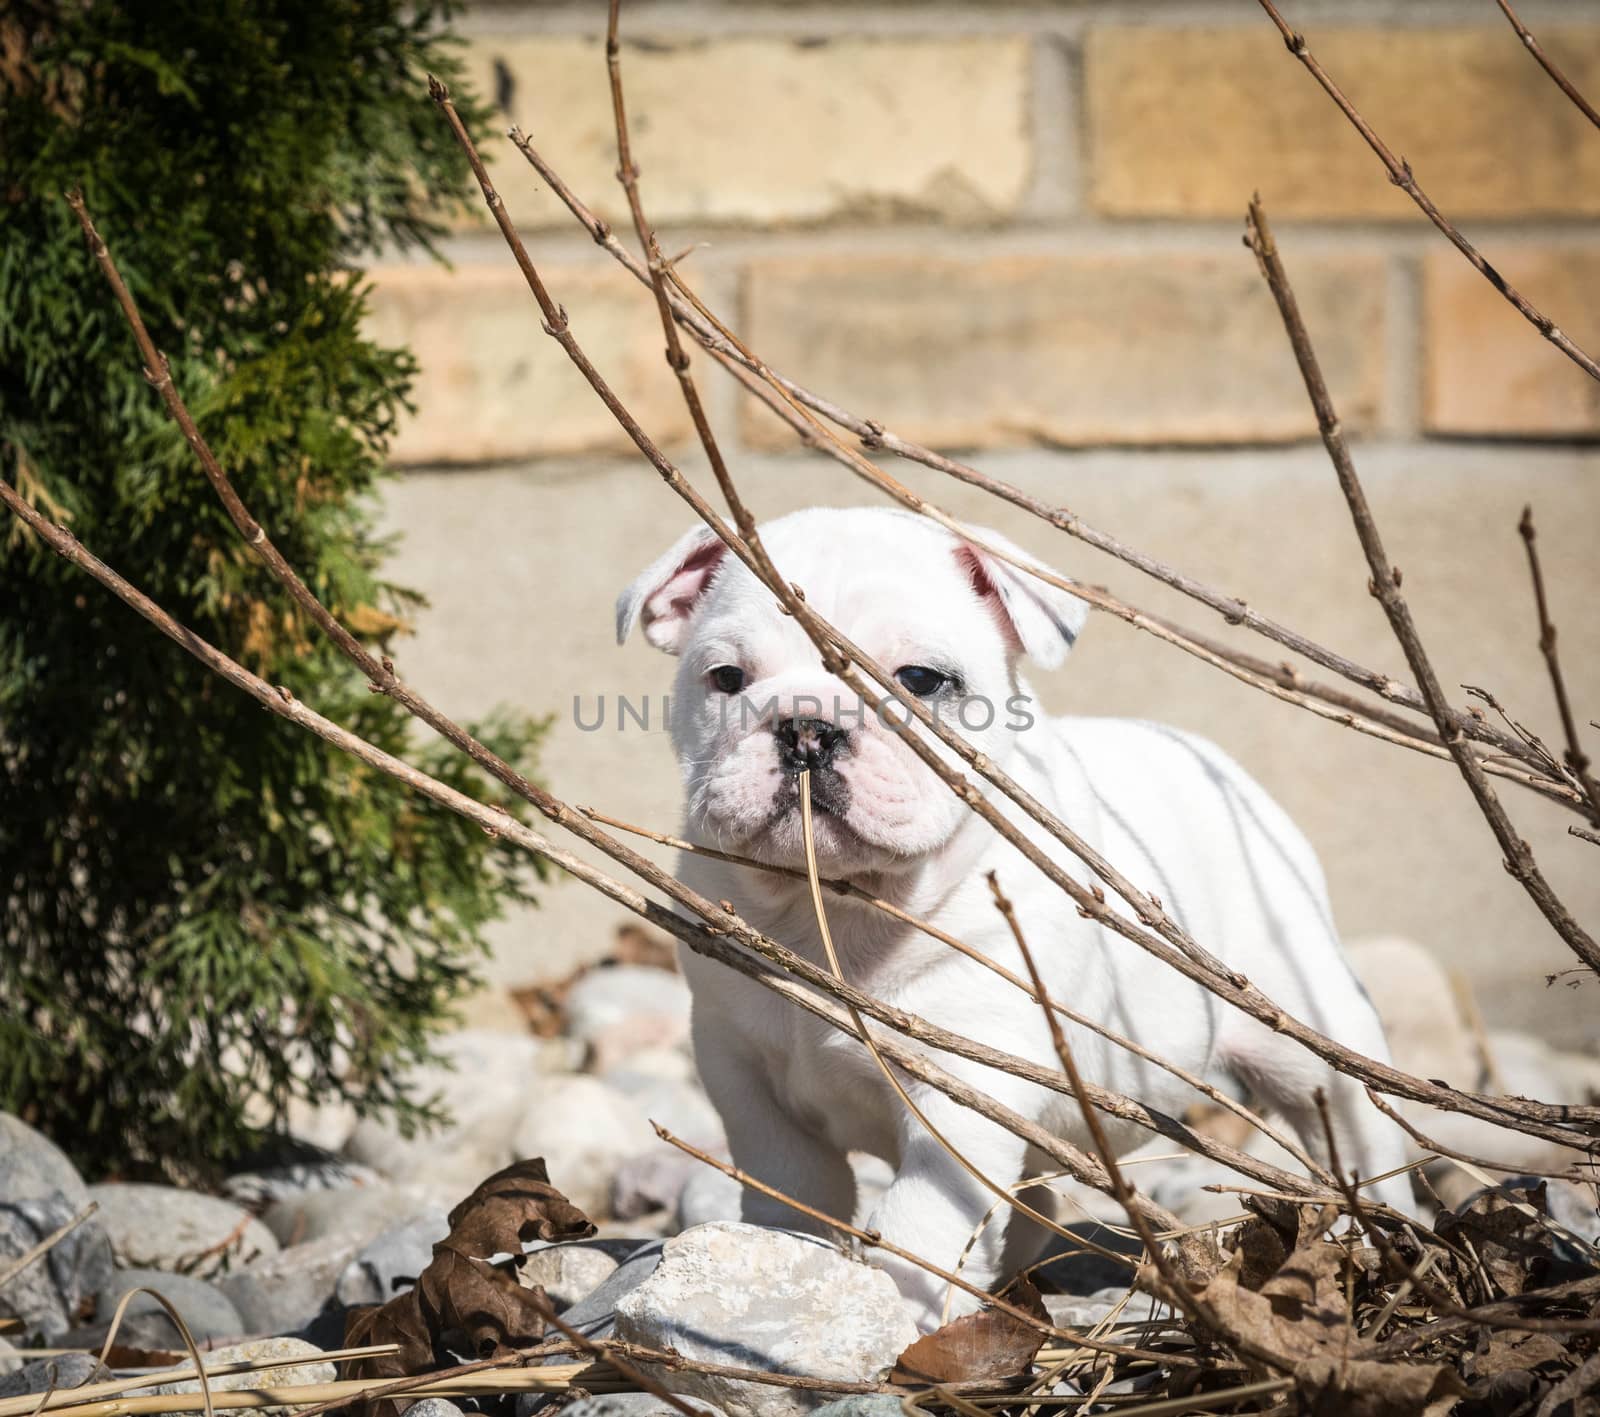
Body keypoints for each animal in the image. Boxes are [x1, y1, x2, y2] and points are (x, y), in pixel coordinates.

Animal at [611, 508, 1414, 1330]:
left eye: (919, 680)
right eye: (726, 679)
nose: (807, 726)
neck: (832, 905)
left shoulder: (966, 1083)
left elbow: (920, 1220)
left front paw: (903, 1317)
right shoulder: (735, 1059)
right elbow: (792, 1176)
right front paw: (785, 1261)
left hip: (1312, 1030)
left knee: (1354, 1127)